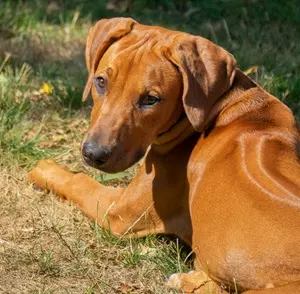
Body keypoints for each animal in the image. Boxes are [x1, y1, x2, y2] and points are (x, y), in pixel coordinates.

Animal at [29, 17, 300, 292]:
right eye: (101, 82)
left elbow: (79, 181)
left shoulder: (118, 213)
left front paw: (45, 169)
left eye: (151, 99)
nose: (93, 154)